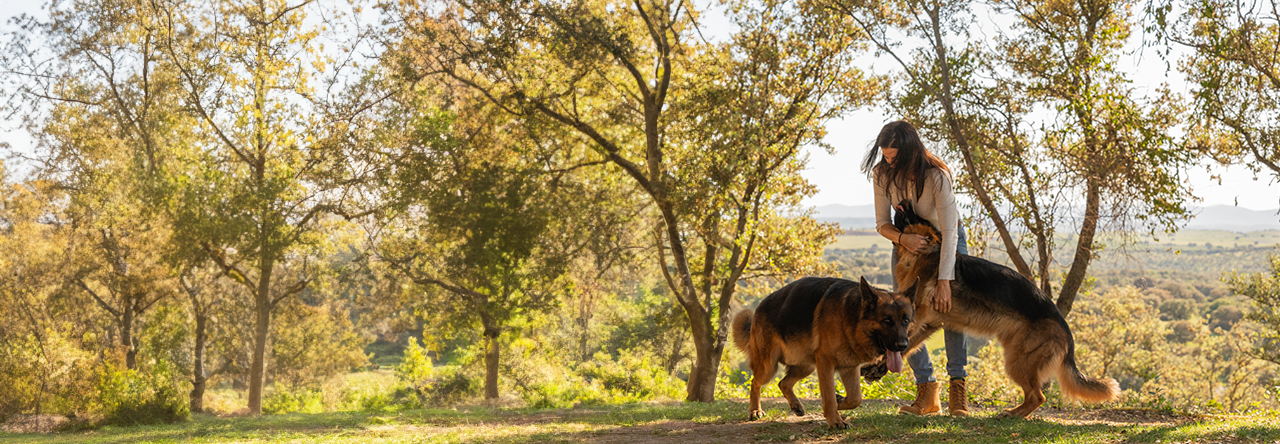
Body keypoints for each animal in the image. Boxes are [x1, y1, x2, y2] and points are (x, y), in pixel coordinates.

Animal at [732, 276, 921, 429]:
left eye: (905, 320)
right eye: (887, 321)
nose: (903, 345)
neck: (851, 320)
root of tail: (759, 307)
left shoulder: (849, 367)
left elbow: (855, 399)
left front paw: (840, 402)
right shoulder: (826, 364)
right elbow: (829, 396)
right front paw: (835, 421)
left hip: (806, 367)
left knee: (783, 383)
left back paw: (795, 405)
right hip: (768, 366)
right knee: (755, 383)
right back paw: (755, 411)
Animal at [896, 203, 1116, 419]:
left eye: (915, 215)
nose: (903, 202)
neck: (927, 250)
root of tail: (1063, 325)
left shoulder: (918, 315)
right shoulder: (929, 323)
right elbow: (907, 345)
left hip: (1018, 361)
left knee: (1038, 396)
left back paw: (1012, 414)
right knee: (1034, 396)